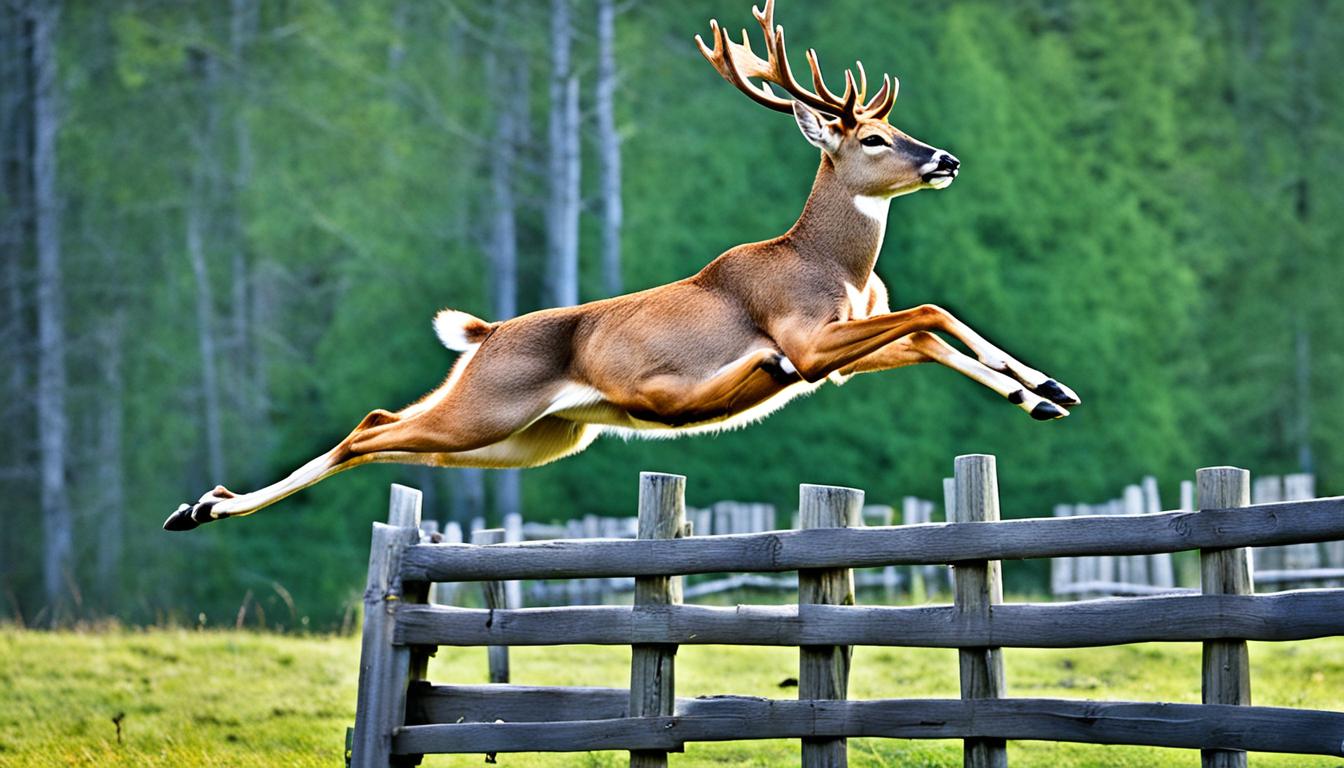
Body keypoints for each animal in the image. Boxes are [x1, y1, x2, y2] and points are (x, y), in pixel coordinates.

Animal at [159, 0, 1080, 535]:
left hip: (529, 439)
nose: (946, 160)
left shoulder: (835, 356)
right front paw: (1045, 386)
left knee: (388, 434)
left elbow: (926, 334)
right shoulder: (802, 344)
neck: (835, 269)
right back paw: (200, 508)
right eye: (876, 138)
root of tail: (487, 332)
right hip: (488, 412)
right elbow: (931, 312)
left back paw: (204, 504)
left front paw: (1044, 393)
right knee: (370, 427)